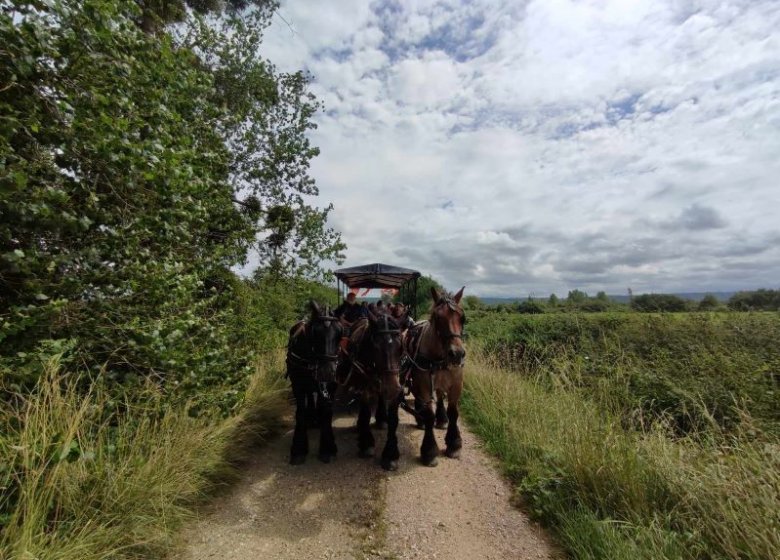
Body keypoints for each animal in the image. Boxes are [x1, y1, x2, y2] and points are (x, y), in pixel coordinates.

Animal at [288, 302, 342, 464]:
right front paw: (298, 449)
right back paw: (311, 417)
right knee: (311, 395)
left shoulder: (331, 386)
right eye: (315, 333)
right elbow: (299, 413)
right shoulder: (297, 385)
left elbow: (327, 411)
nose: (327, 372)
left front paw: (327, 447)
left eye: (340, 333)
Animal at [338, 312, 406, 470]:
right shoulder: (364, 386)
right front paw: (366, 443)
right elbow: (365, 412)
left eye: (400, 345)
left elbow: (393, 419)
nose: (392, 388)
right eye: (376, 346)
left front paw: (390, 454)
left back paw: (381, 419)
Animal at [402, 286, 464, 466]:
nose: (457, 354)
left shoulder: (456, 384)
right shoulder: (423, 384)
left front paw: (454, 443)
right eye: (437, 317)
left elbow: (453, 412)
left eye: (462, 318)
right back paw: (421, 417)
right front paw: (429, 451)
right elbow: (429, 415)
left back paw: (441, 419)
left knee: (440, 396)